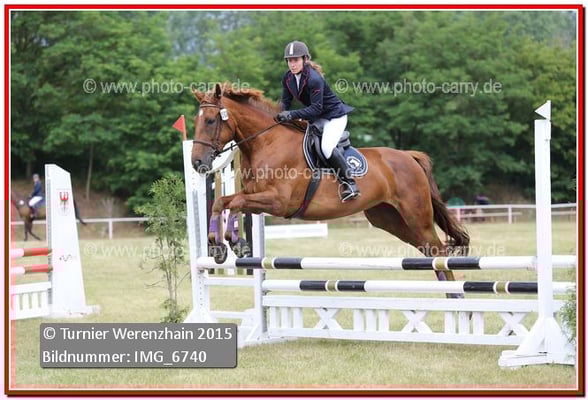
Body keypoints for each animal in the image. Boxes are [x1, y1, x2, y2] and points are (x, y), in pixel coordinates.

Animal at [191, 83, 470, 289]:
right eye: (196, 121)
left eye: (211, 121)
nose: (197, 163)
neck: (267, 142)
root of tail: (409, 156)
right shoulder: (256, 197)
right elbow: (223, 202)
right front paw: (219, 246)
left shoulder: (278, 202)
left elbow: (235, 202)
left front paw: (235, 242)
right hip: (389, 218)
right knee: (430, 254)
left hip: (416, 215)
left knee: (438, 250)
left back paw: (455, 296)